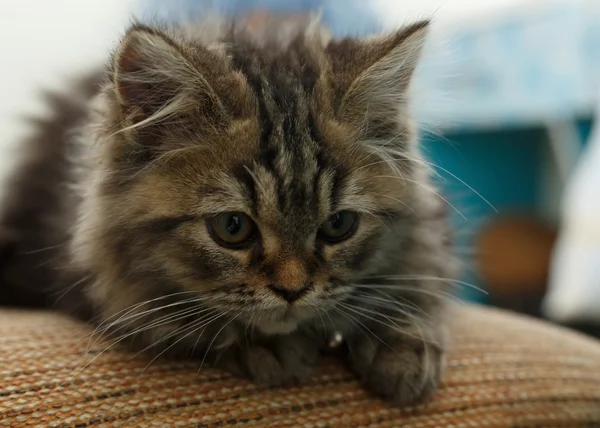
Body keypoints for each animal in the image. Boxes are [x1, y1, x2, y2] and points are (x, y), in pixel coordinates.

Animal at [0, 15, 454, 406]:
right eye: (232, 227)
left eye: (338, 225)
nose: (293, 291)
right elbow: (186, 323)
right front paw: (268, 347)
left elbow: (417, 283)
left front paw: (401, 347)